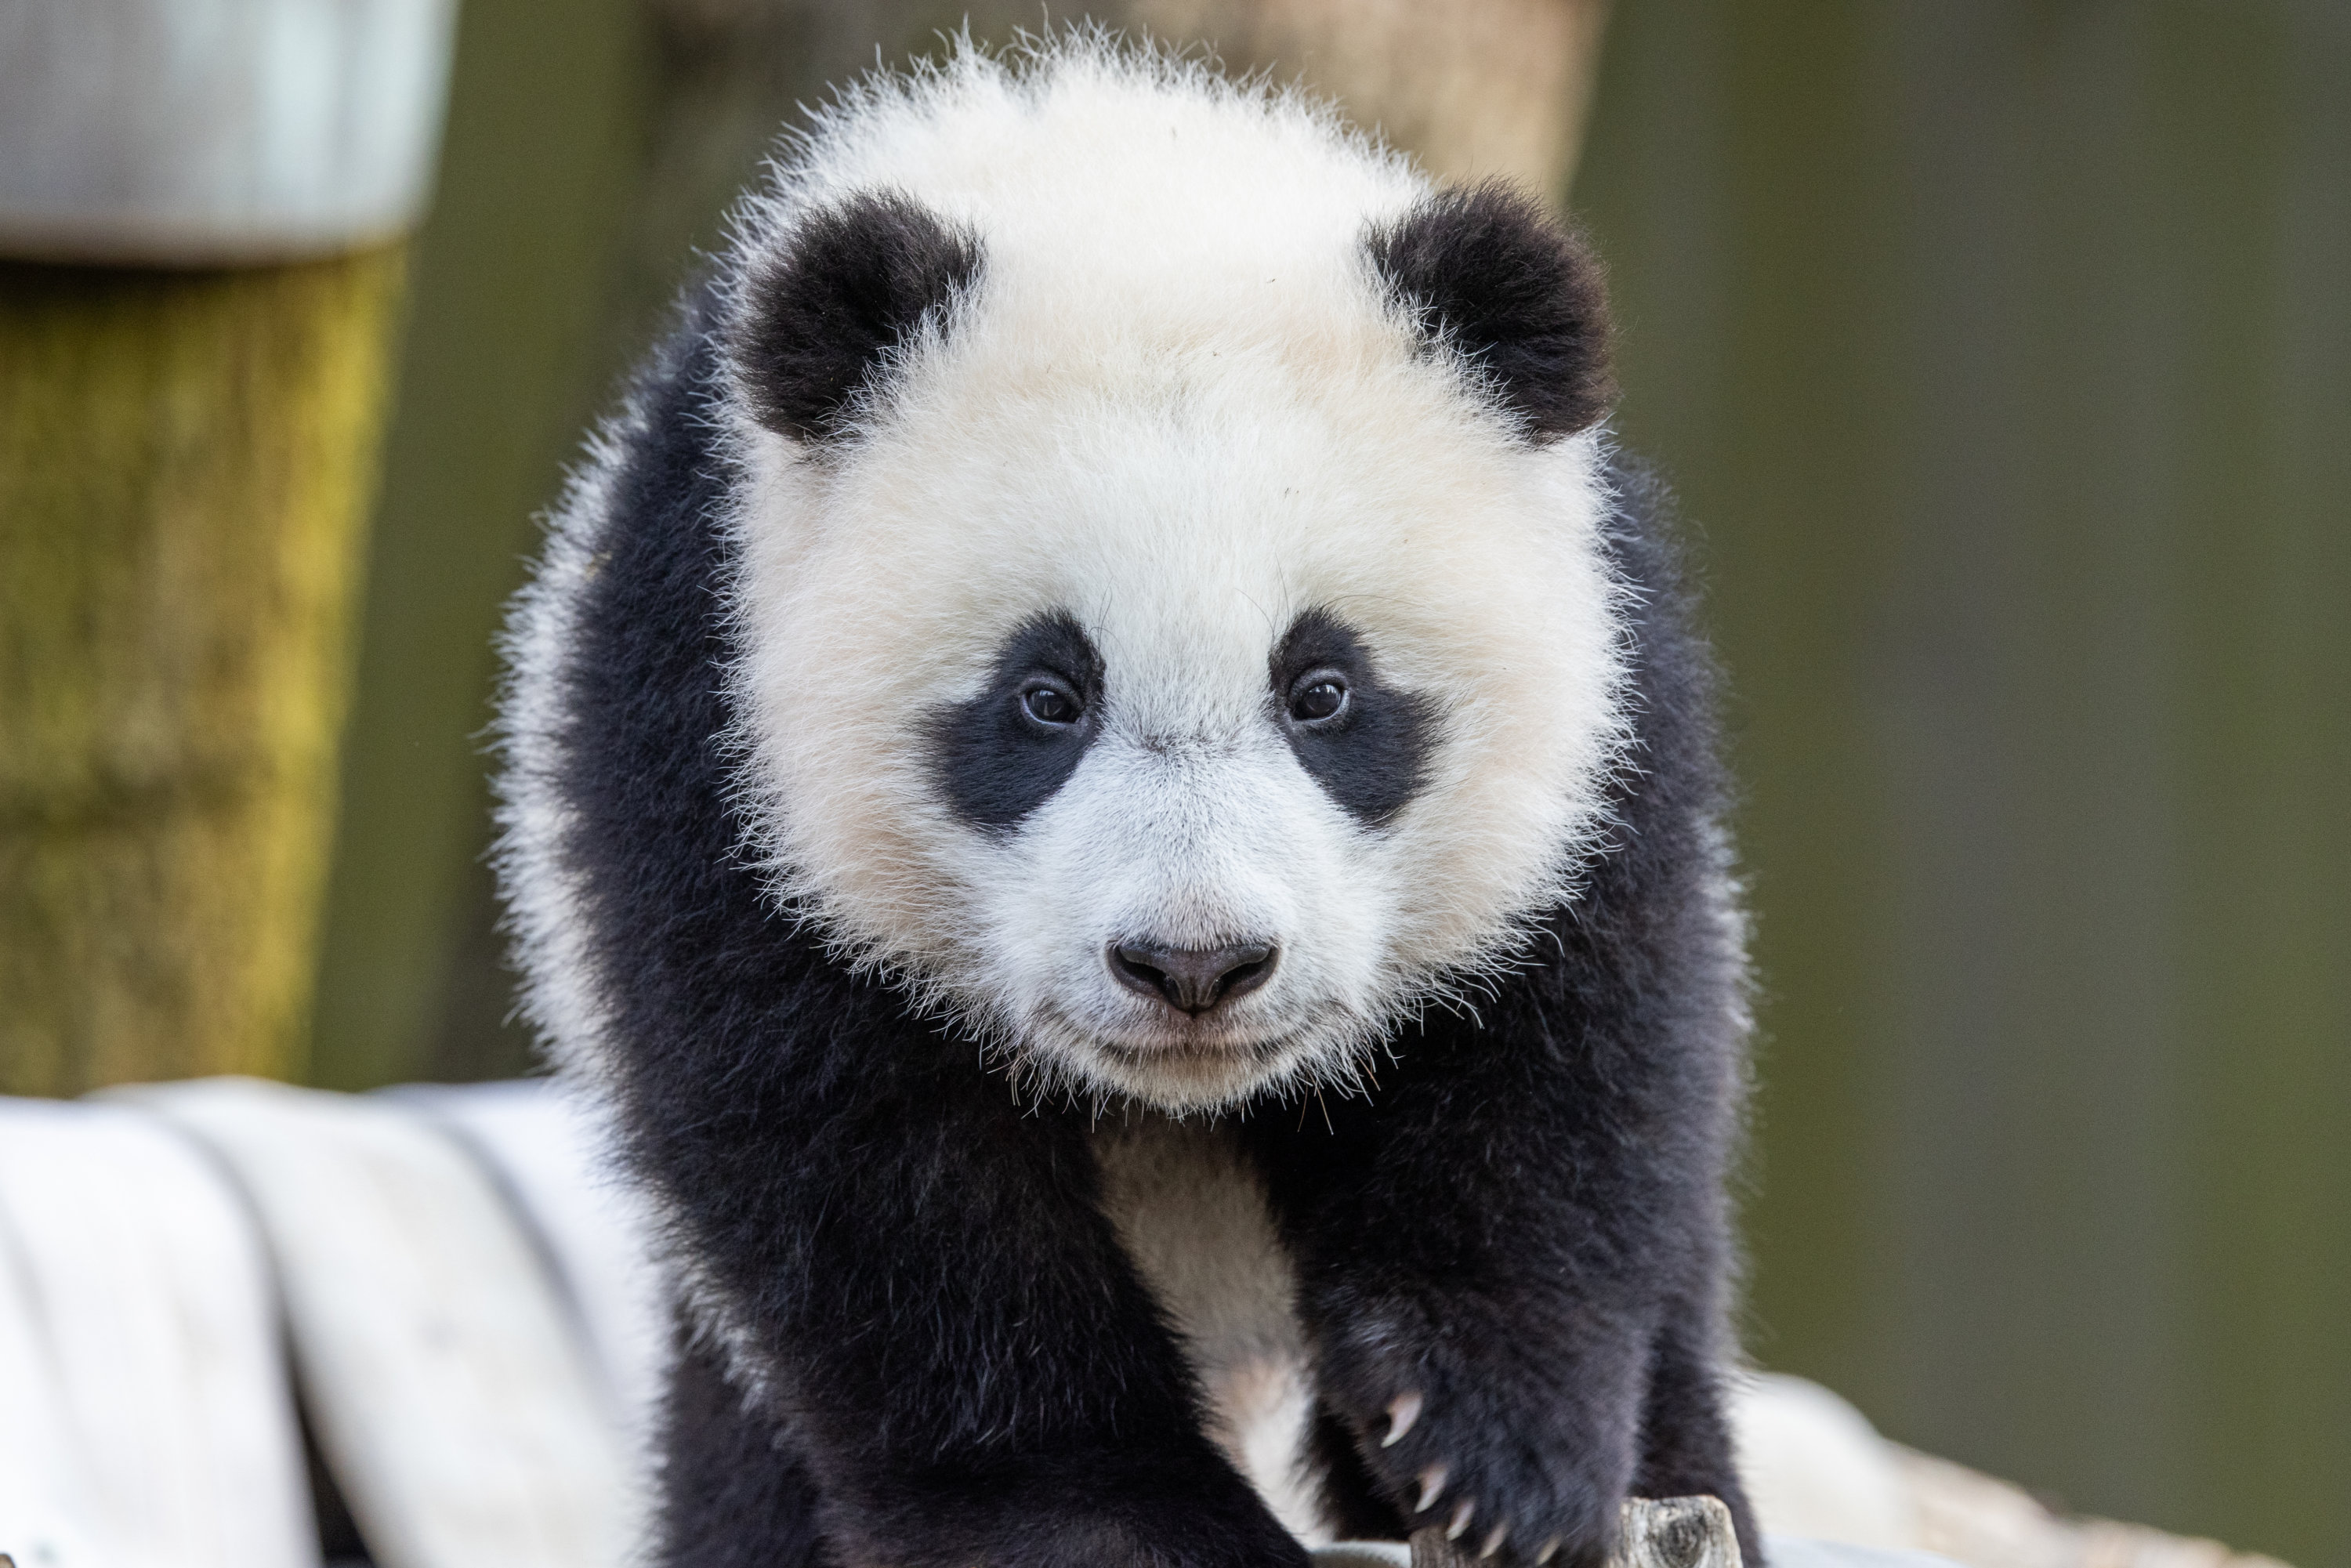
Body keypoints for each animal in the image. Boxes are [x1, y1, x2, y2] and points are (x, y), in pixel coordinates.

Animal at [505, 31, 1759, 1568]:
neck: (1125, 186)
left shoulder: (1605, 711)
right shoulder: (699, 708)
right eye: (1049, 696)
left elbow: (1568, 1058)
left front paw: (1485, 1451)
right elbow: (861, 1169)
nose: (1196, 965)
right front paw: (1119, 1517)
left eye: (1322, 689)